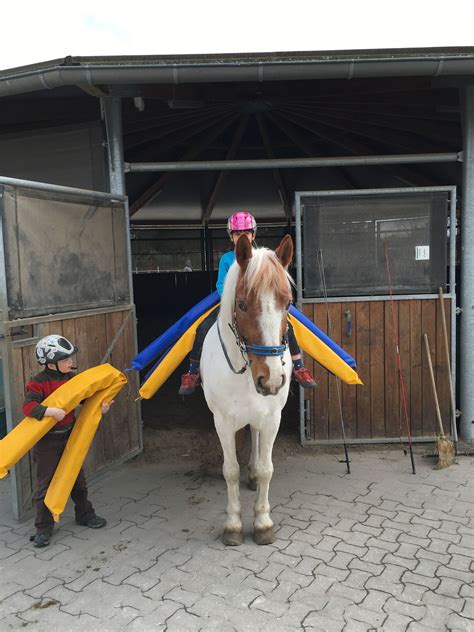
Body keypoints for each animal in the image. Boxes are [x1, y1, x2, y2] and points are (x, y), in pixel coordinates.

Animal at [199, 232, 292, 544]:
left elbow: (266, 469)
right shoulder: (222, 421)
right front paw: (233, 525)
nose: (272, 379)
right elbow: (230, 471)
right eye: (241, 305)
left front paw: (263, 523)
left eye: (288, 304)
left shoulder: (273, 418)